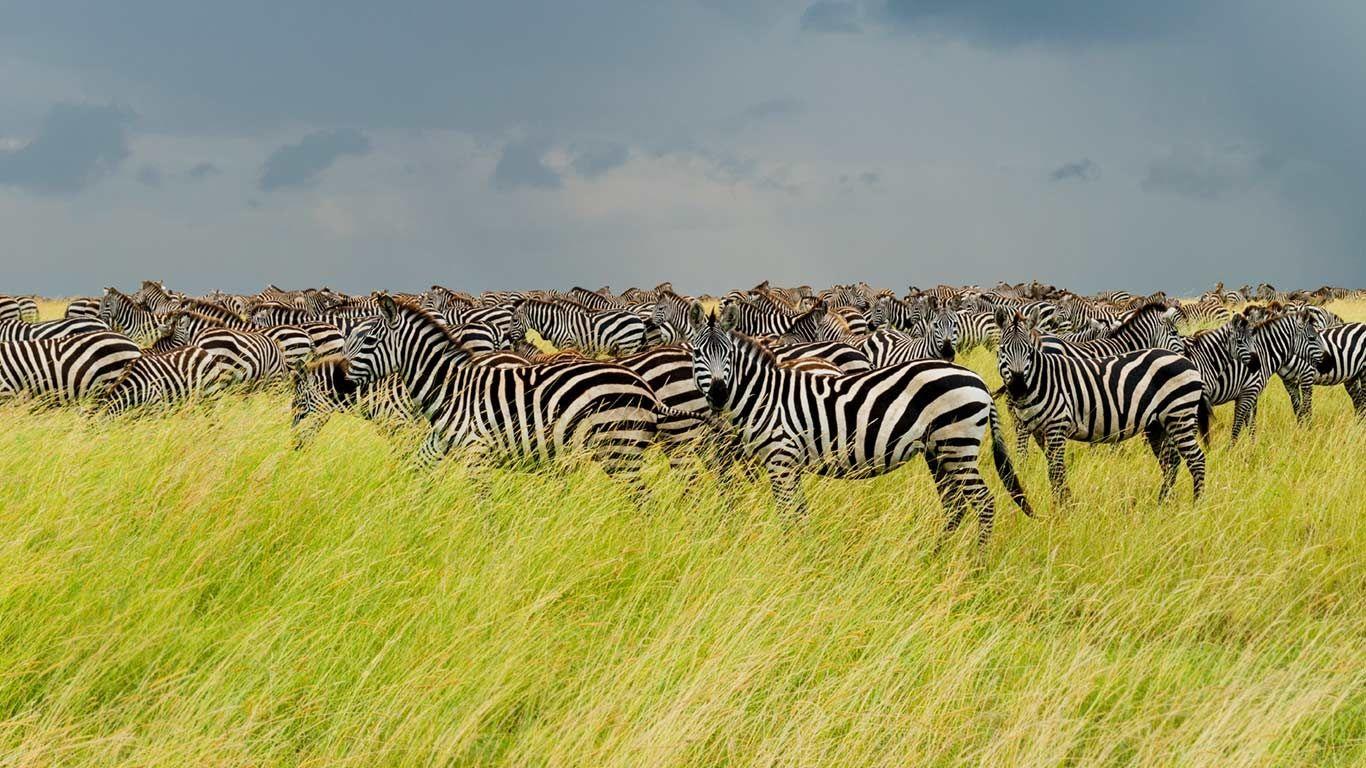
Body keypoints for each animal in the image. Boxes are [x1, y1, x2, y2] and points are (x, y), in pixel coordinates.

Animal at [507, 299, 648, 356]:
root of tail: (639, 319)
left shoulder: (567, 344)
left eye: (514, 320)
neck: (555, 323)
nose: (507, 337)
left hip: (628, 345)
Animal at [686, 303, 1032, 542]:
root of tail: (979, 381)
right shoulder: (789, 464)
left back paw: (977, 567)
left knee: (984, 503)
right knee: (955, 504)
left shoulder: (781, 460)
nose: (718, 394)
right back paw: (936, 555)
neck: (765, 396)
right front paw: (804, 551)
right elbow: (799, 512)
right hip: (939, 451)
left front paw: (790, 555)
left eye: (727, 354)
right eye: (699, 355)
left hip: (957, 445)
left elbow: (787, 514)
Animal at [994, 308, 1208, 502]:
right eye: (1002, 350)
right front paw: (1062, 505)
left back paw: (1196, 504)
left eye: (1029, 351)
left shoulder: (1059, 426)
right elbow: (1055, 470)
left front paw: (1063, 508)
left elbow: (1056, 471)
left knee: (1195, 459)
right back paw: (1164, 502)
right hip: (1160, 424)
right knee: (1172, 461)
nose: (1018, 387)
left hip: (1178, 417)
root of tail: (1187, 364)